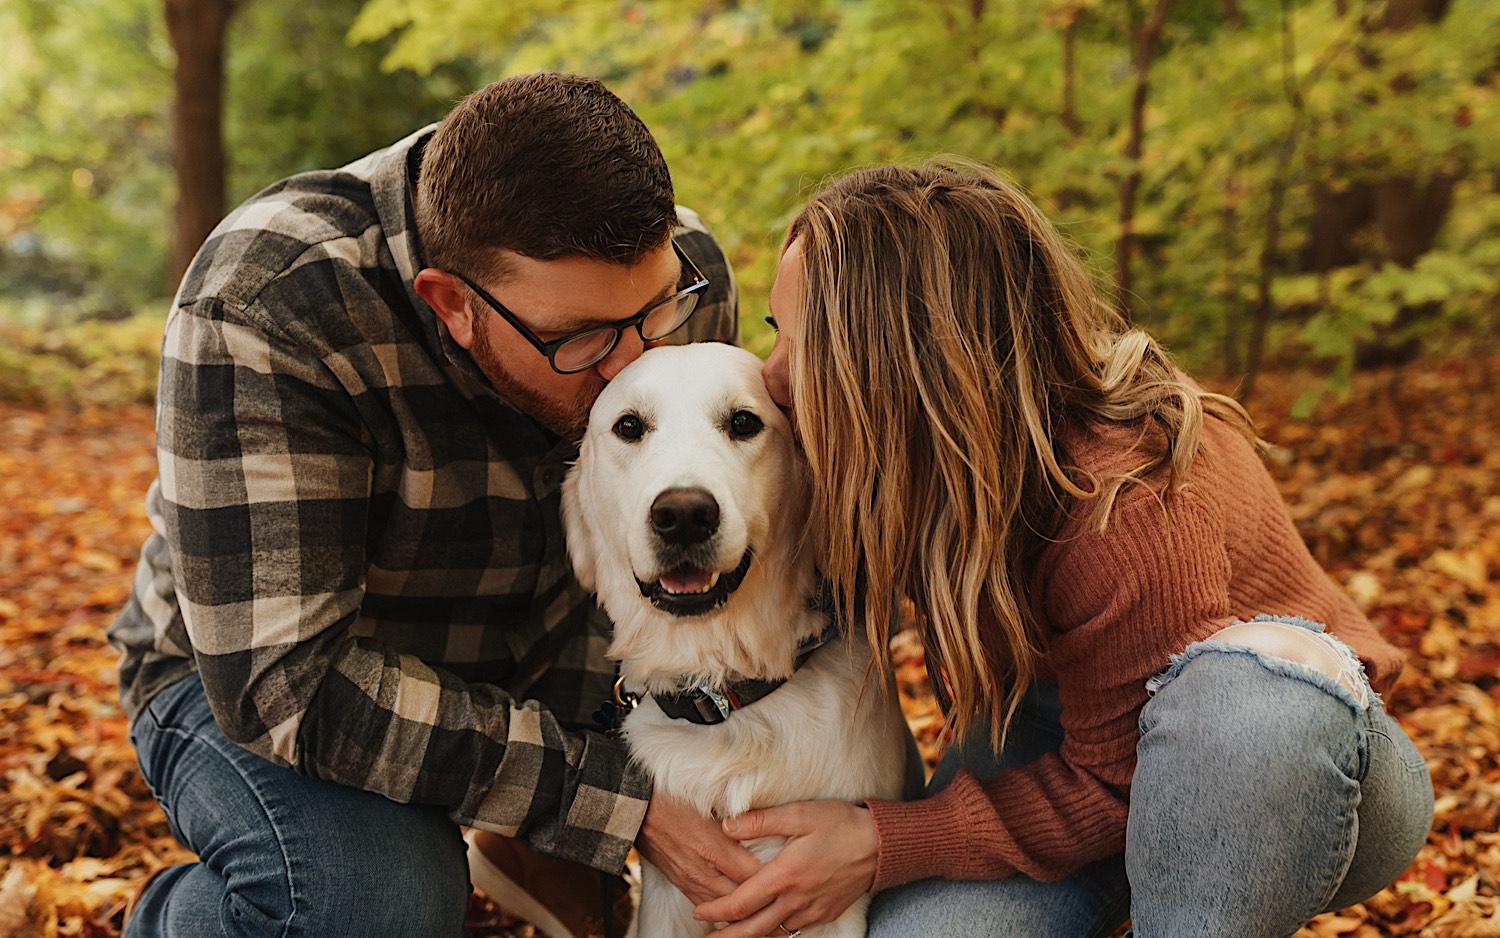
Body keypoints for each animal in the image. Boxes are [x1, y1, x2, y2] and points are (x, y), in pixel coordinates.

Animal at [564, 342, 906, 936]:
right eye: (629, 426)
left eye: (744, 422)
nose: (683, 515)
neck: (725, 694)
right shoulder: (667, 902)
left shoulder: (832, 907)